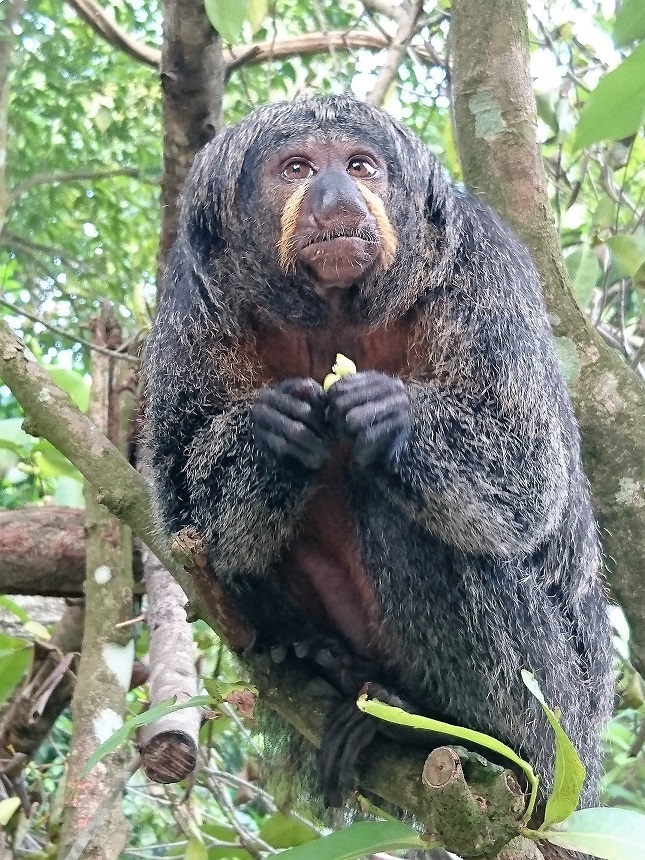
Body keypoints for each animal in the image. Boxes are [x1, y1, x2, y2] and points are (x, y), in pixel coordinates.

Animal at [142, 94, 612, 840]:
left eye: (360, 166)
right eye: (298, 168)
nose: (336, 200)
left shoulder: (486, 263)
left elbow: (527, 474)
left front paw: (389, 420)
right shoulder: (192, 293)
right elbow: (183, 499)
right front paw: (274, 435)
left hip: (559, 728)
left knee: (407, 512)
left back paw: (429, 728)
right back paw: (315, 658)